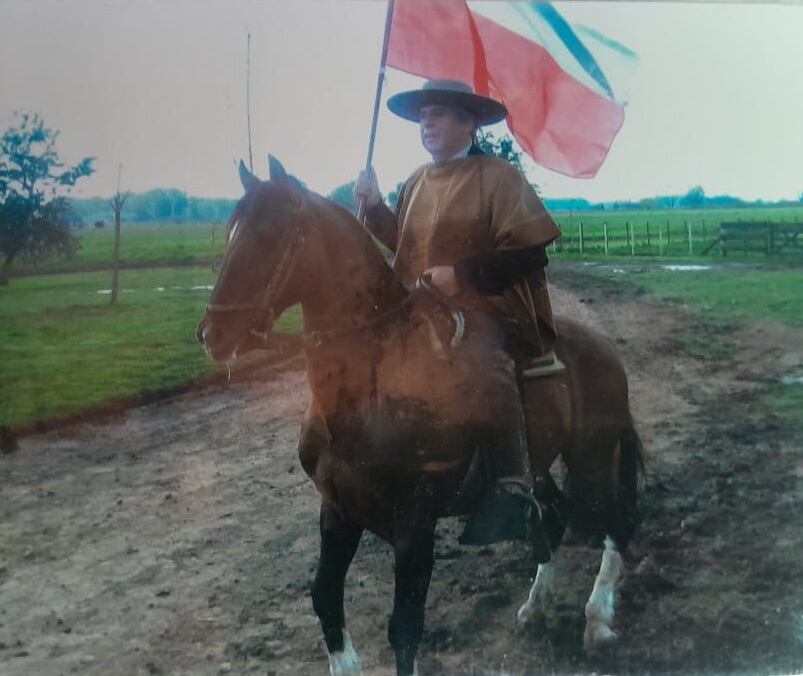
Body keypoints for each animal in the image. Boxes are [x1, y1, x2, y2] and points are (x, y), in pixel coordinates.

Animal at [198, 157, 644, 672]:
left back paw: (597, 620)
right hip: (539, 465)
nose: (211, 334)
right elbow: (325, 597)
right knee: (551, 518)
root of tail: (603, 346)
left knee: (613, 524)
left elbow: (405, 628)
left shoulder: (415, 523)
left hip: (591, 457)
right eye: (231, 229)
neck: (371, 390)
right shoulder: (338, 507)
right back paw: (535, 607)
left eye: (270, 235)